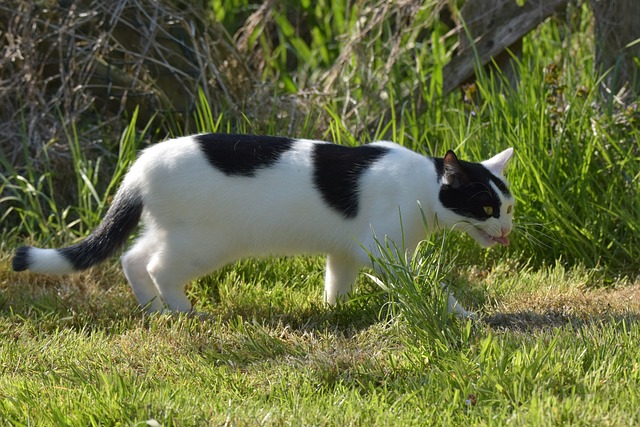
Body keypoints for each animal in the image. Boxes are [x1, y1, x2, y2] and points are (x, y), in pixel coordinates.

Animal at [11, 134, 516, 318]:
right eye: (487, 208)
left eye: (508, 206)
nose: (508, 231)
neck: (422, 188)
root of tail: (140, 164)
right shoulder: (382, 251)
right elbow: (424, 285)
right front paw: (461, 314)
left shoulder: (345, 251)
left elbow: (337, 282)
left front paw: (334, 312)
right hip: (206, 242)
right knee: (156, 267)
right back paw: (185, 312)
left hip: (171, 230)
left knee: (133, 260)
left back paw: (154, 311)